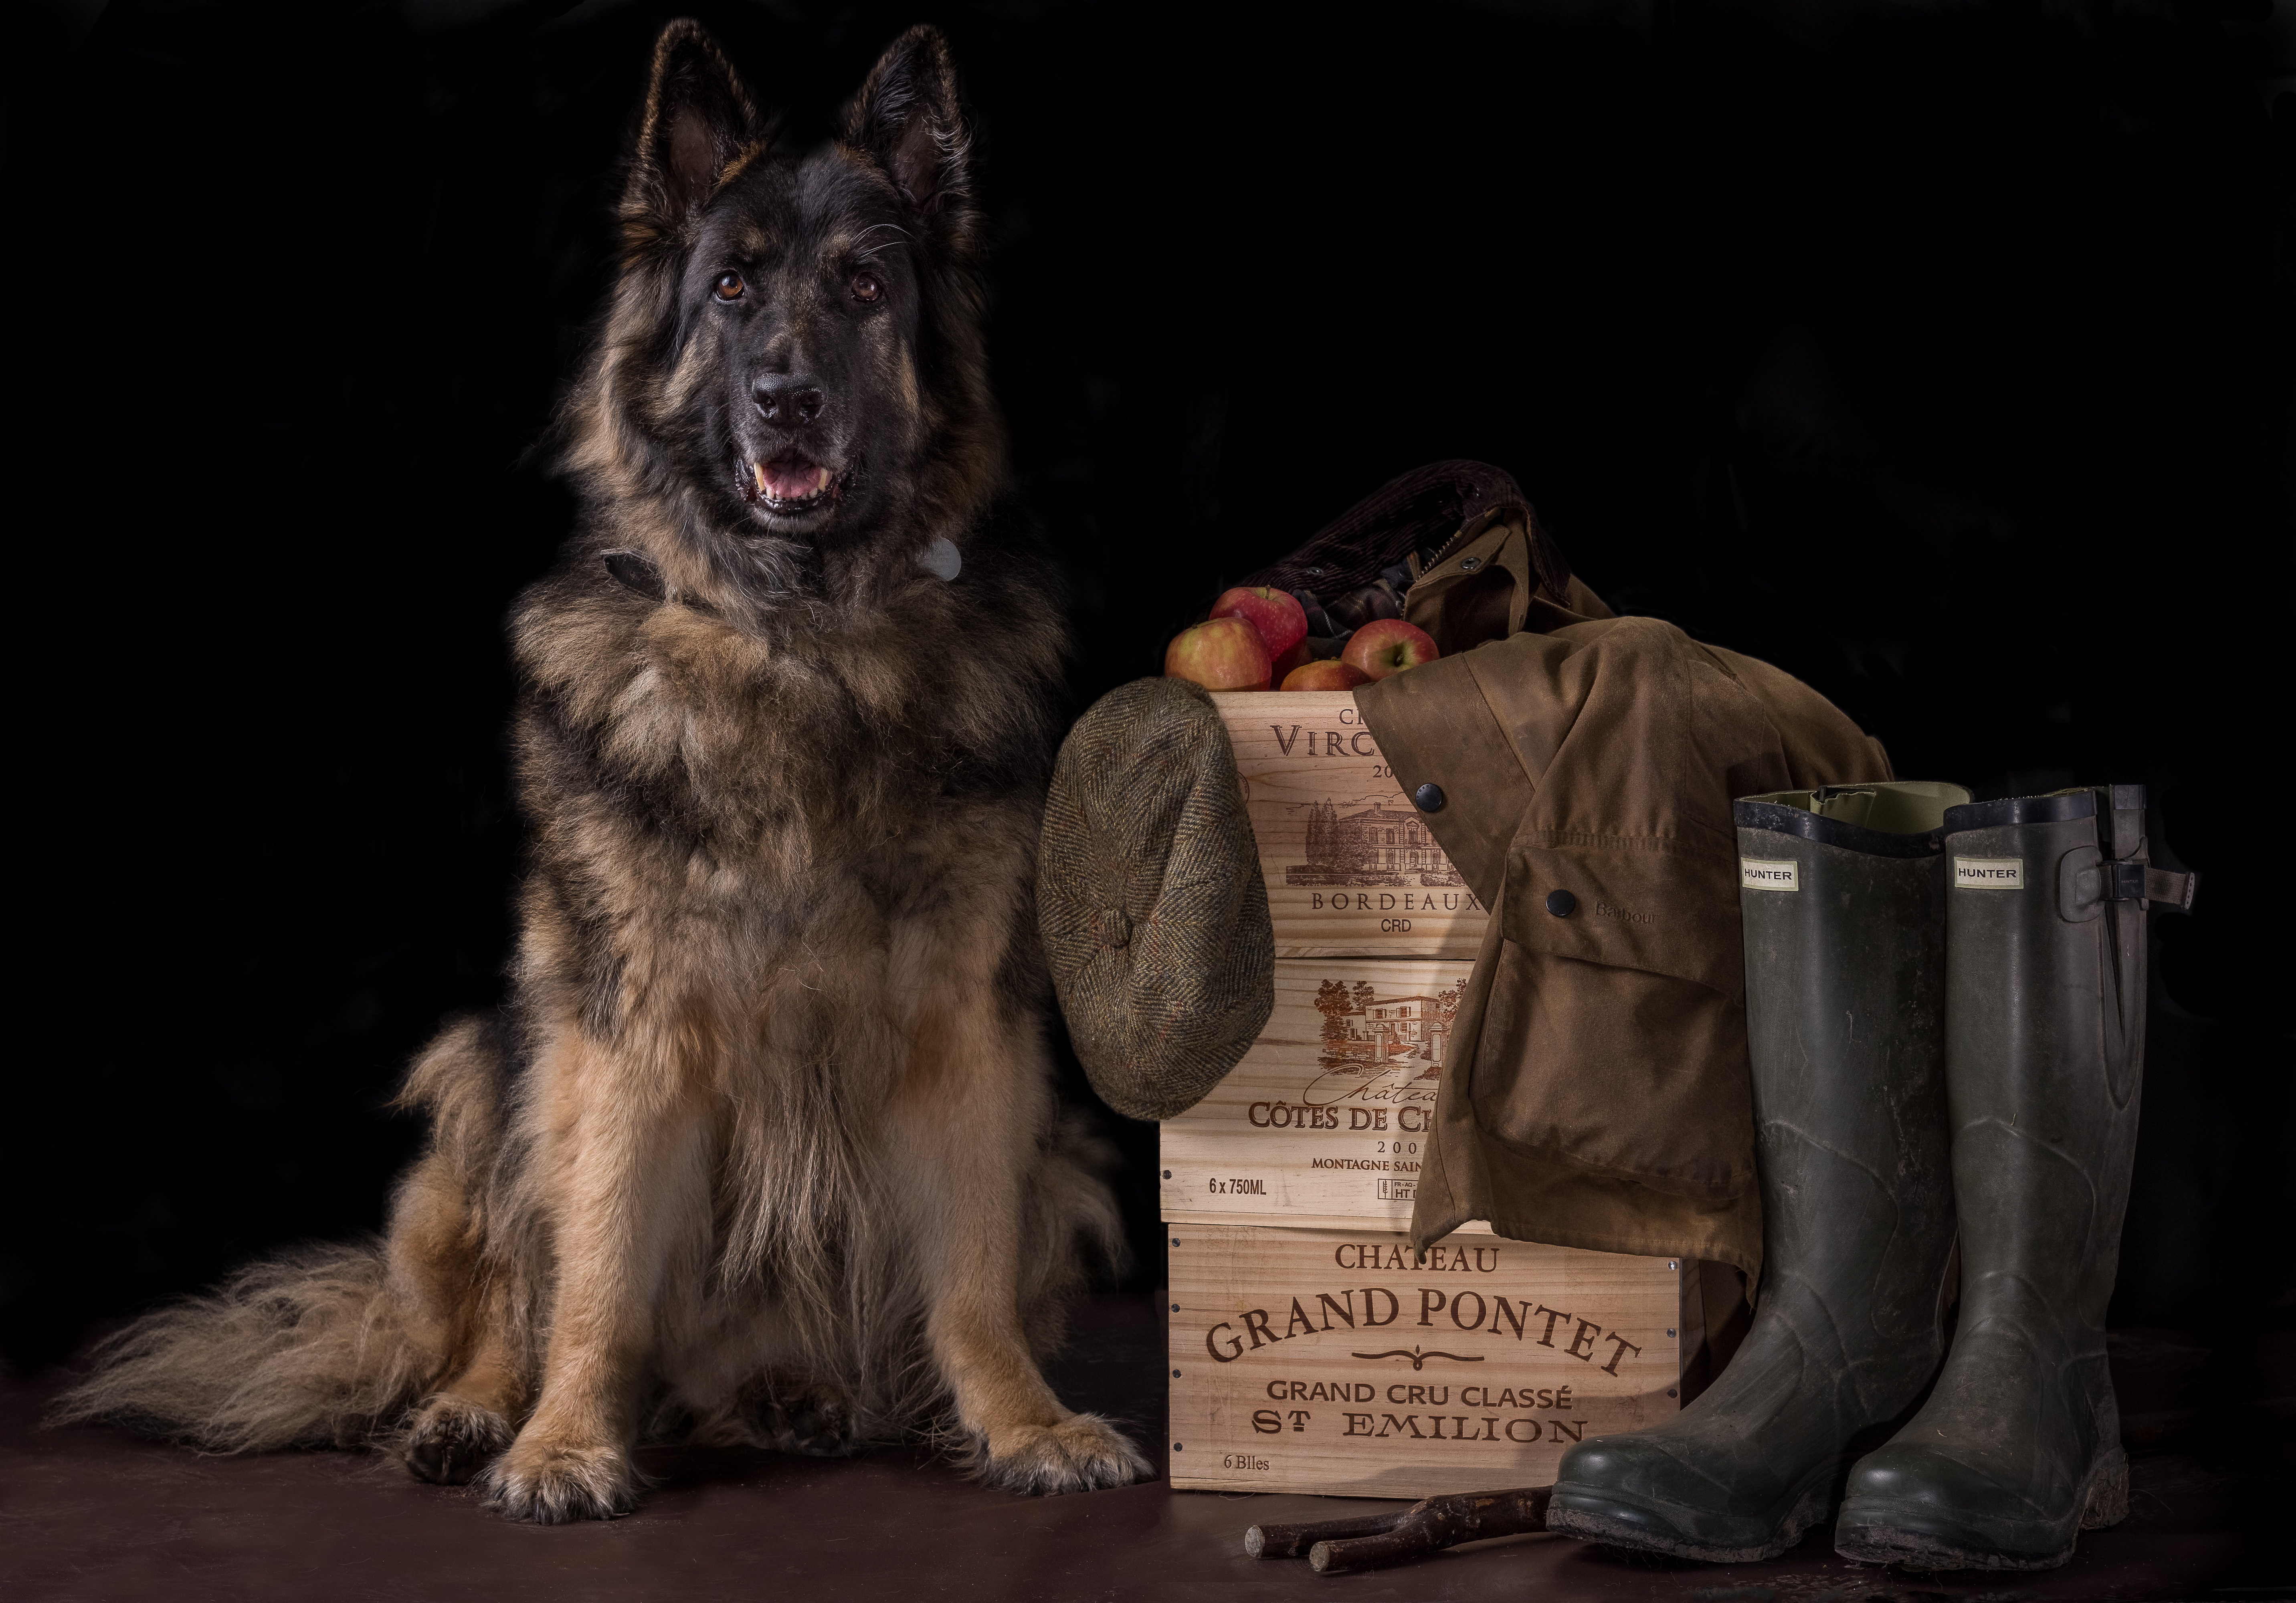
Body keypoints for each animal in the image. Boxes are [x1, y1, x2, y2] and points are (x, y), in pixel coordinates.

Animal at [58, 18, 1148, 1516]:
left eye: (865, 285)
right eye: (732, 287)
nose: (787, 400)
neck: (797, 635)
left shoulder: (970, 1026)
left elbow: (972, 1278)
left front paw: (1025, 1423)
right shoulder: (627, 1030)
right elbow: (597, 1271)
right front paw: (565, 1439)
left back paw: (790, 1396)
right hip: (480, 1075)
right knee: (495, 1303)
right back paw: (473, 1412)